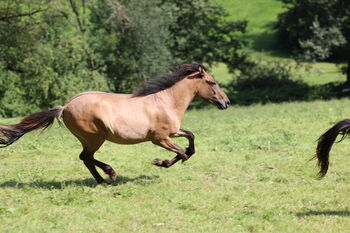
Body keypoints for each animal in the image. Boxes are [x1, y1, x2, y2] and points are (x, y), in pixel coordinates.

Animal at [0, 63, 230, 184]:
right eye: (212, 82)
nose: (226, 102)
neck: (166, 102)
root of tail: (64, 107)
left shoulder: (172, 132)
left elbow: (190, 140)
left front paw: (163, 161)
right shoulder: (160, 138)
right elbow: (182, 153)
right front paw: (160, 162)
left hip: (89, 139)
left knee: (86, 158)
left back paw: (102, 180)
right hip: (96, 137)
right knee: (86, 157)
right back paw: (109, 174)